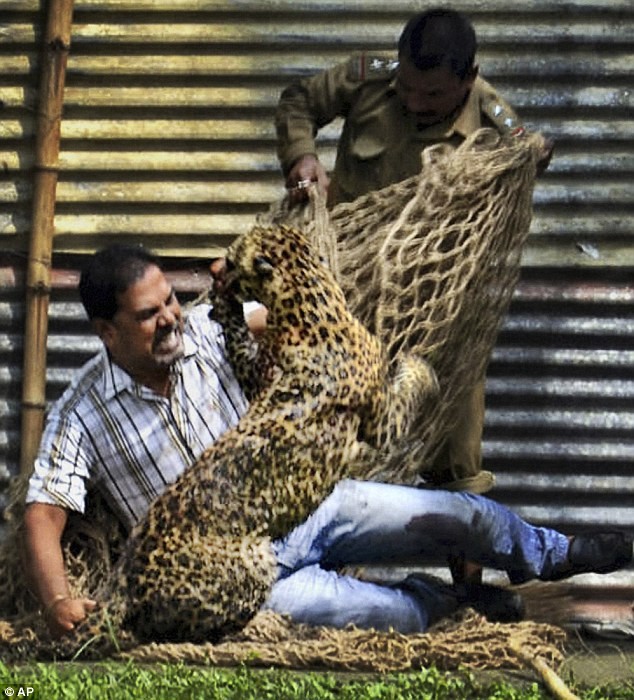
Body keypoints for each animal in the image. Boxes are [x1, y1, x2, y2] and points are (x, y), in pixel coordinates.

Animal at [53, 224, 434, 656]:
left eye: (234, 258)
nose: (215, 267)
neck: (308, 297)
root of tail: (125, 578)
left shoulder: (257, 375)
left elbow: (238, 343)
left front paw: (224, 305)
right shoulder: (382, 421)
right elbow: (407, 392)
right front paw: (420, 368)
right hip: (253, 566)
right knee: (181, 630)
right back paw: (258, 629)